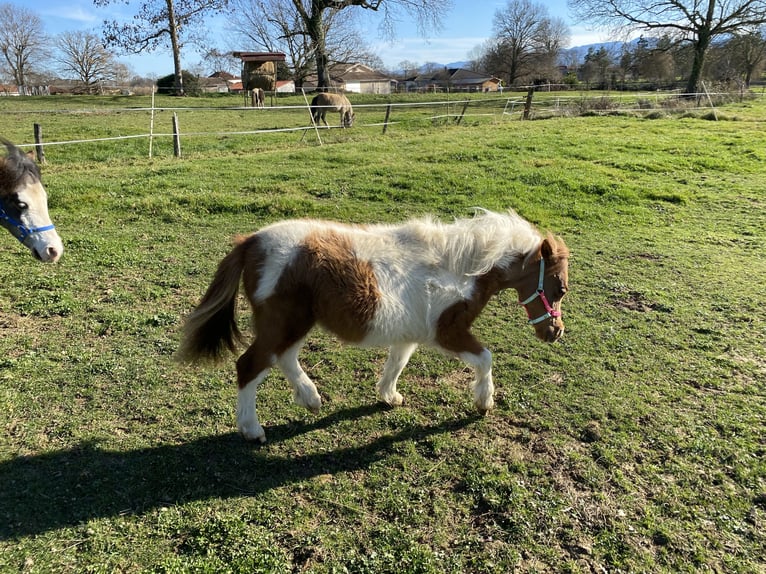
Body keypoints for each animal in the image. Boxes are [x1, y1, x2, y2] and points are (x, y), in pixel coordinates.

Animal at [177, 210, 569, 443]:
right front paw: (484, 402)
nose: (555, 333)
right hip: (283, 322)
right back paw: (253, 429)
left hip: (295, 324)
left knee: (283, 358)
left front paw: (389, 396)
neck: (460, 268)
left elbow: (397, 363)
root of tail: (250, 242)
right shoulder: (447, 332)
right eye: (560, 288)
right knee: (251, 365)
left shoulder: (410, 335)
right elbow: (486, 357)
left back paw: (311, 399)